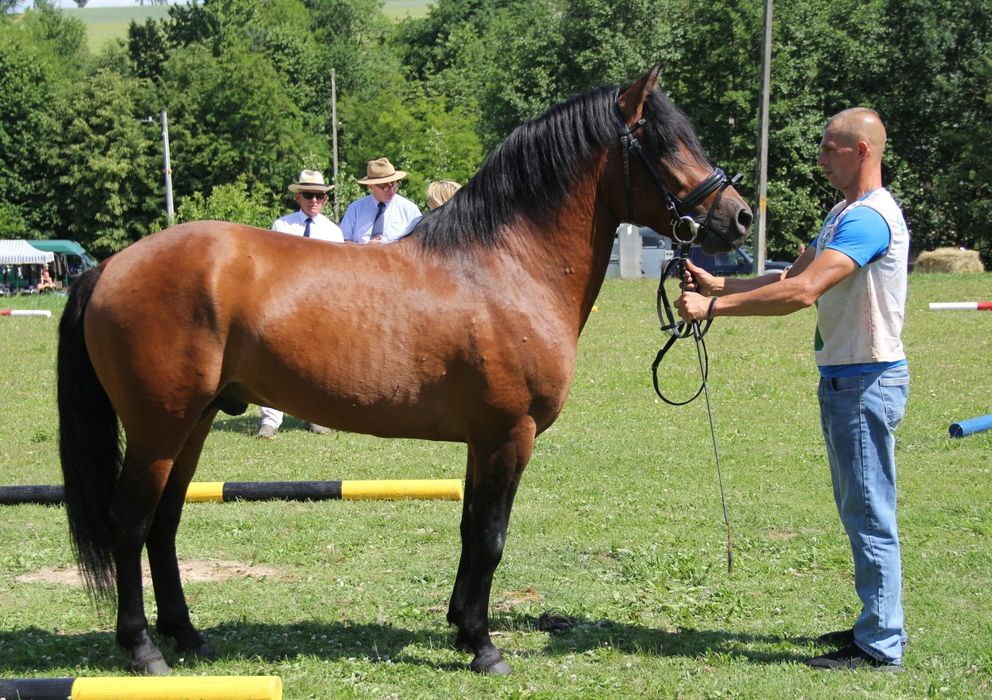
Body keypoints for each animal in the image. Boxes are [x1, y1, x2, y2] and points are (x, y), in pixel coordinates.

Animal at [58, 67, 748, 680]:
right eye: (664, 143)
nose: (739, 217)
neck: (505, 265)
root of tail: (109, 267)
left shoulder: (483, 441)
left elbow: (471, 530)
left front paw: (461, 626)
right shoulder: (509, 435)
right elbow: (491, 537)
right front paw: (484, 648)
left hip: (193, 424)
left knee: (164, 523)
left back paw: (188, 635)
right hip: (159, 428)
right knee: (130, 523)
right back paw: (142, 648)